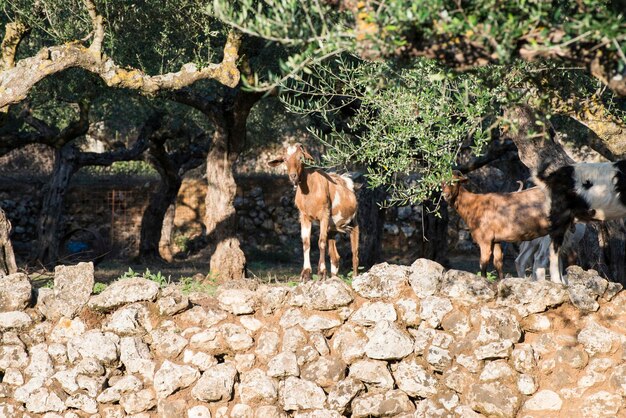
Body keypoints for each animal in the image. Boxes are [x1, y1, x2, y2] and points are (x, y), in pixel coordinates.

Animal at [266, 144, 358, 280]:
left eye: (301, 158)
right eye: (285, 159)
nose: (293, 176)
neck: (310, 191)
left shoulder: (324, 215)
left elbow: (321, 242)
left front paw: (322, 272)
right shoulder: (304, 217)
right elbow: (306, 242)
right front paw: (306, 273)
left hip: (353, 223)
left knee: (355, 252)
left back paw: (355, 277)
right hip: (333, 228)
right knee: (335, 256)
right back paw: (334, 277)